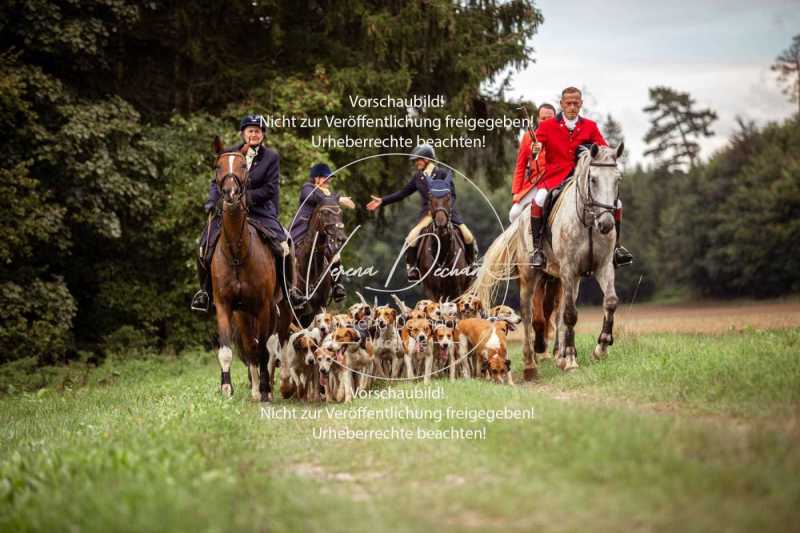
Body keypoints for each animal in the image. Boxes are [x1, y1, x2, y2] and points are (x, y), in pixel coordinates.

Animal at [209, 136, 288, 400]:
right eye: (217, 166)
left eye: (243, 166)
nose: (230, 193)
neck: (237, 251)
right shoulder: (224, 306)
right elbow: (227, 350)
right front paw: (226, 388)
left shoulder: (264, 306)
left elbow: (263, 348)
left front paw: (264, 389)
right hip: (244, 314)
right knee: (250, 345)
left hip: (273, 309)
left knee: (269, 346)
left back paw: (268, 387)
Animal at [468, 142, 624, 378]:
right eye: (593, 179)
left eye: (617, 180)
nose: (606, 224)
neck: (588, 222)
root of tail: (522, 218)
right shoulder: (569, 270)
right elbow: (569, 315)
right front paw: (571, 359)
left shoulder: (603, 266)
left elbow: (611, 302)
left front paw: (601, 348)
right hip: (530, 276)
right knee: (528, 313)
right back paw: (530, 362)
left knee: (556, 313)